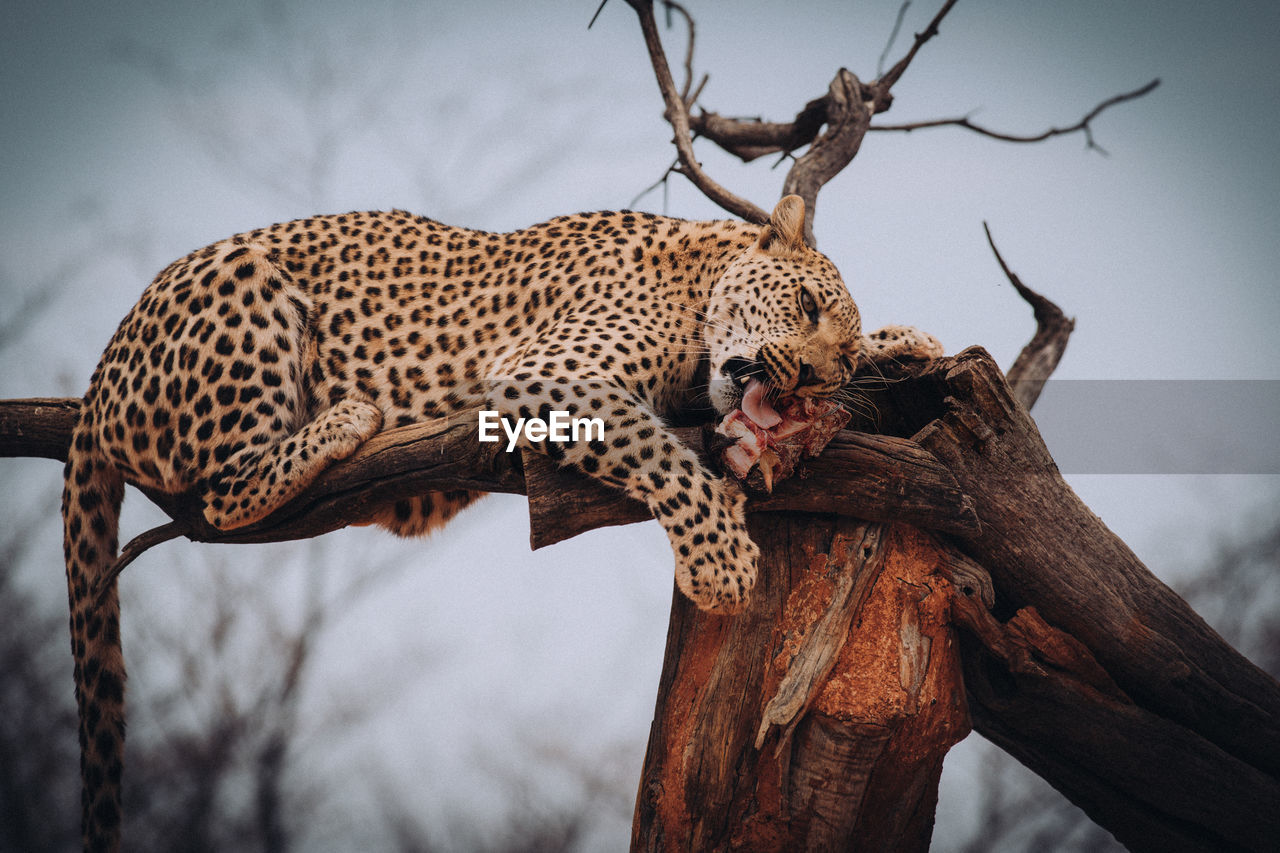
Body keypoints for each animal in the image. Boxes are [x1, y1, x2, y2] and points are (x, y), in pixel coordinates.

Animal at [60, 194, 942, 850]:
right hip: (241, 286)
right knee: (221, 487)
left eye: (834, 352)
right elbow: (657, 451)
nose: (808, 379)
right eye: (804, 302)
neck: (699, 269)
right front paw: (720, 557)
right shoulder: (549, 372)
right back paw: (347, 417)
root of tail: (99, 372)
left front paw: (903, 344)